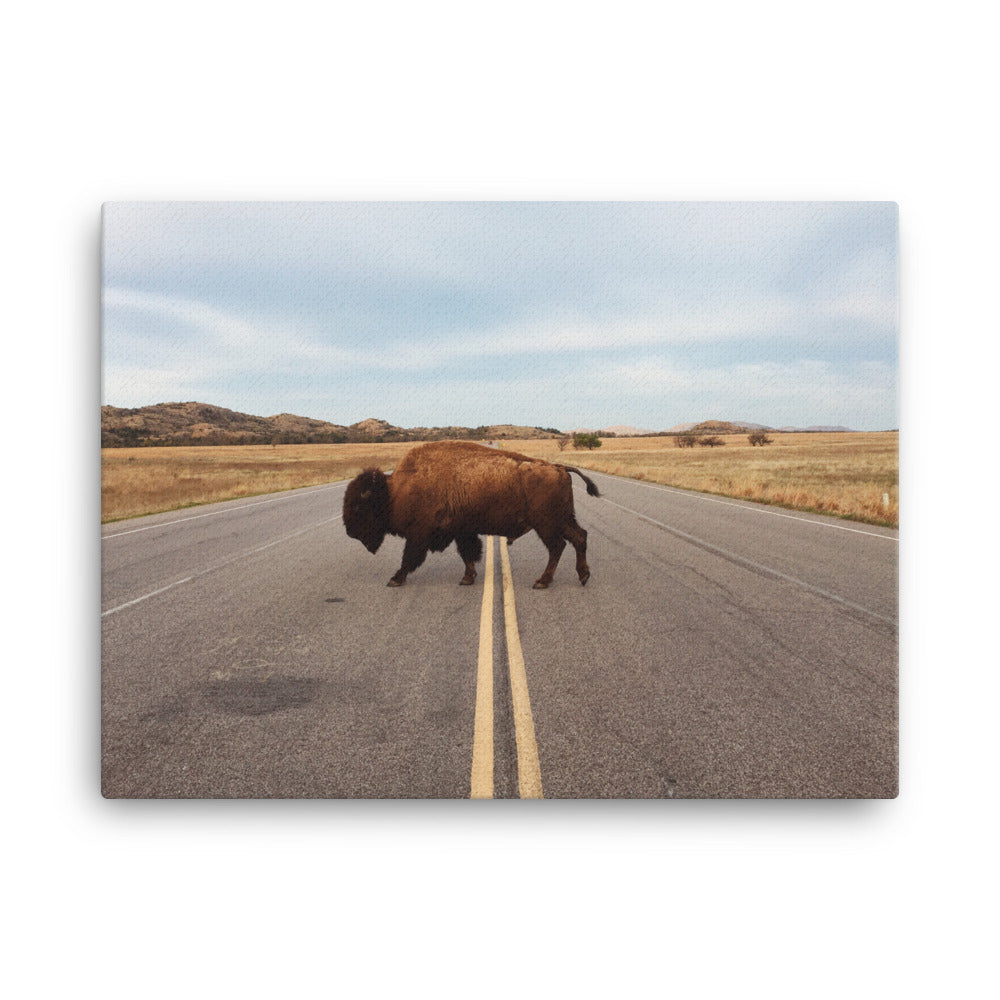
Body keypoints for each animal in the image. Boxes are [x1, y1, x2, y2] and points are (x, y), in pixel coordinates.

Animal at [342, 440, 600, 589]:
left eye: (357, 507)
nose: (349, 532)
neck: (394, 491)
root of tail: (558, 467)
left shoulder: (419, 535)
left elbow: (409, 559)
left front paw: (395, 579)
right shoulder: (460, 531)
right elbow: (467, 553)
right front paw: (468, 578)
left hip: (546, 524)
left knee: (557, 547)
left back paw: (542, 582)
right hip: (562, 520)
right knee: (579, 537)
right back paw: (583, 576)